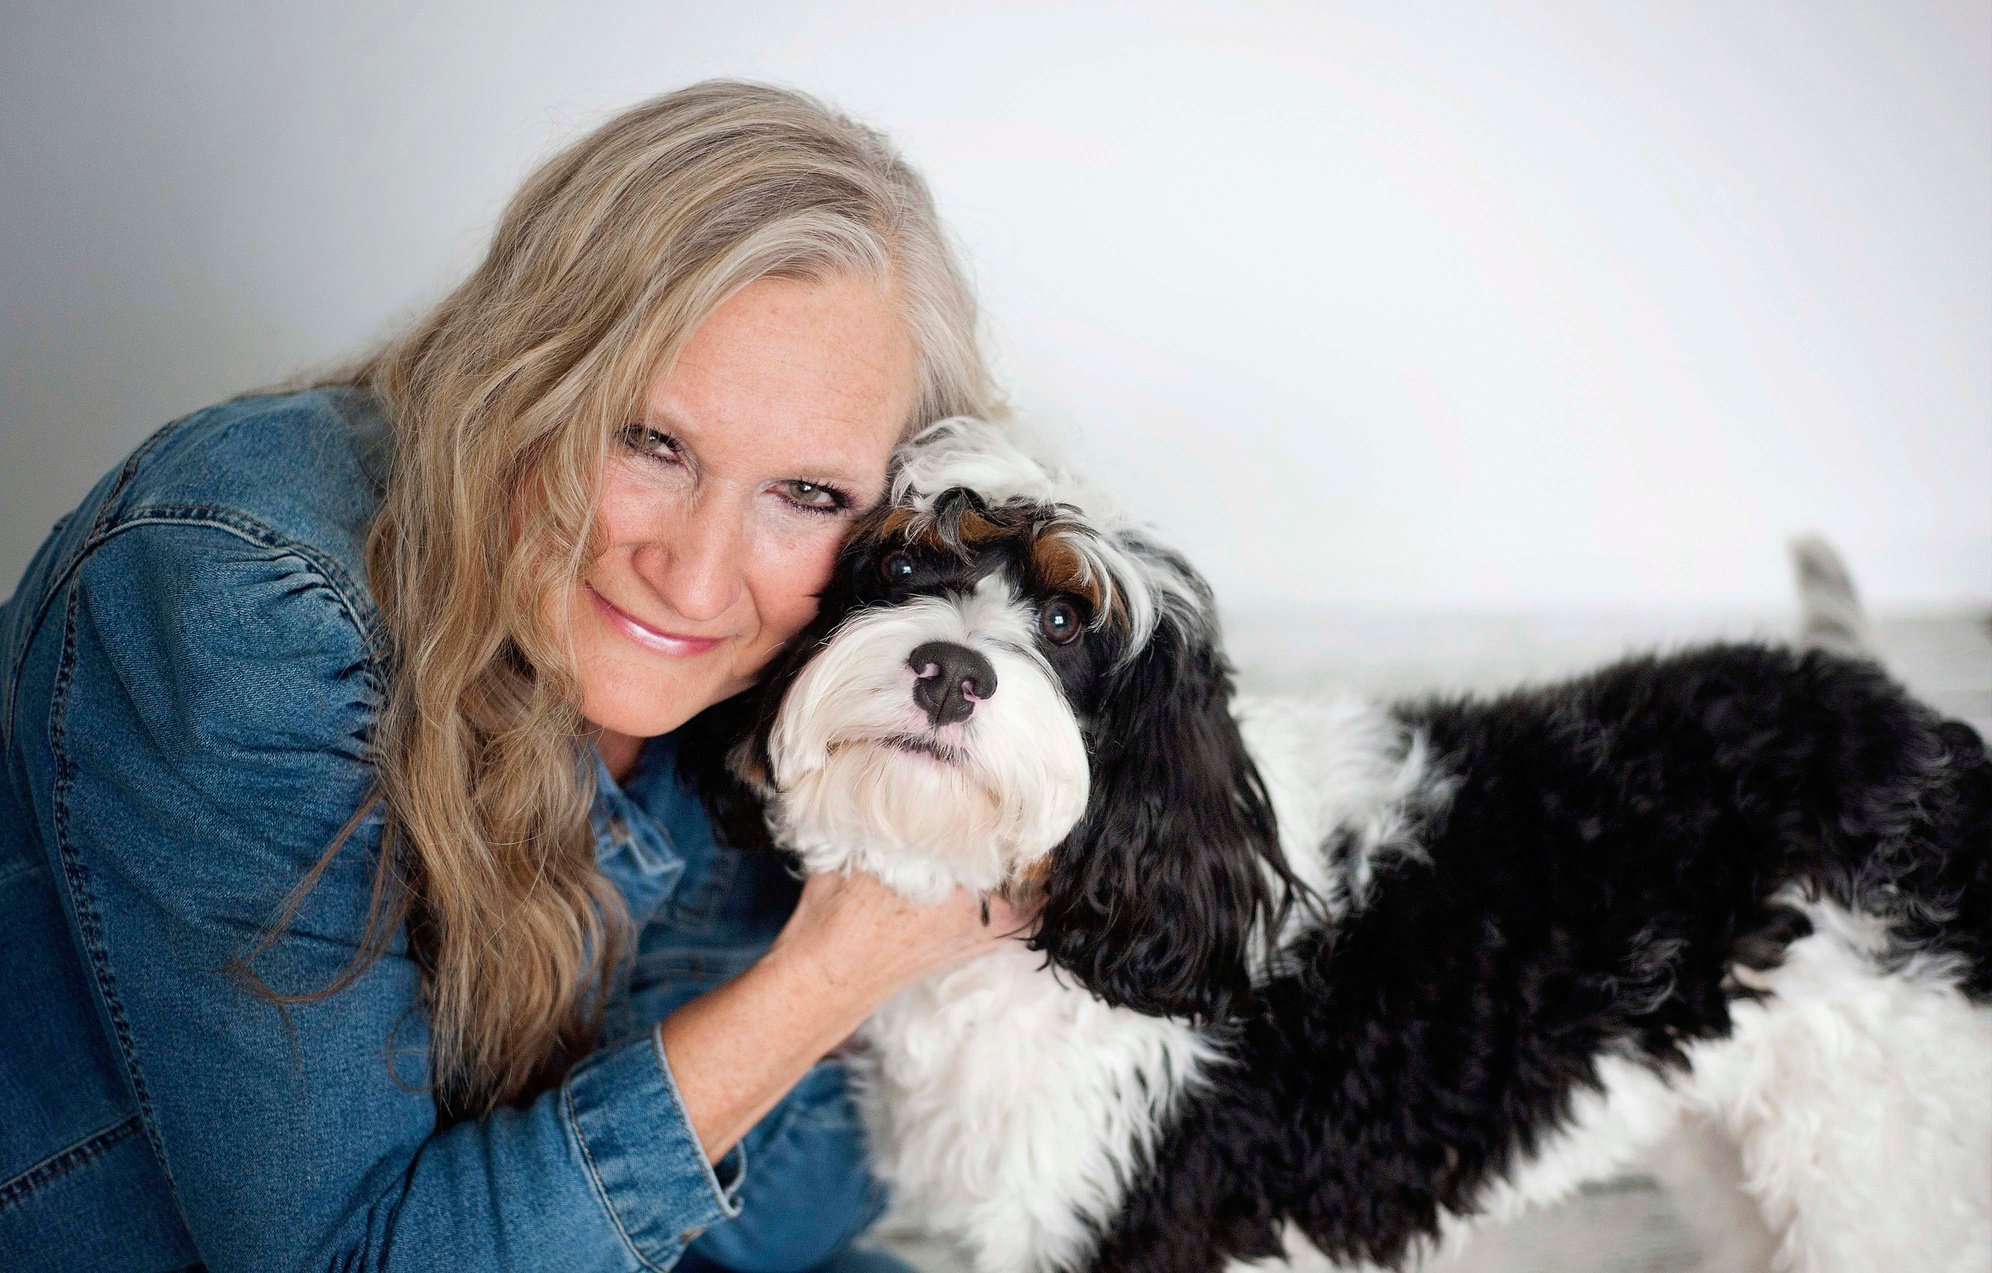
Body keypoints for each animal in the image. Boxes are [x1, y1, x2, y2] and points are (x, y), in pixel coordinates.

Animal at [678, 421, 1992, 1273]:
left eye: (1063, 617)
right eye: (900, 564)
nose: (949, 670)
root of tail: (1900, 723)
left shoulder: (1139, 1227)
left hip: (1884, 1163)